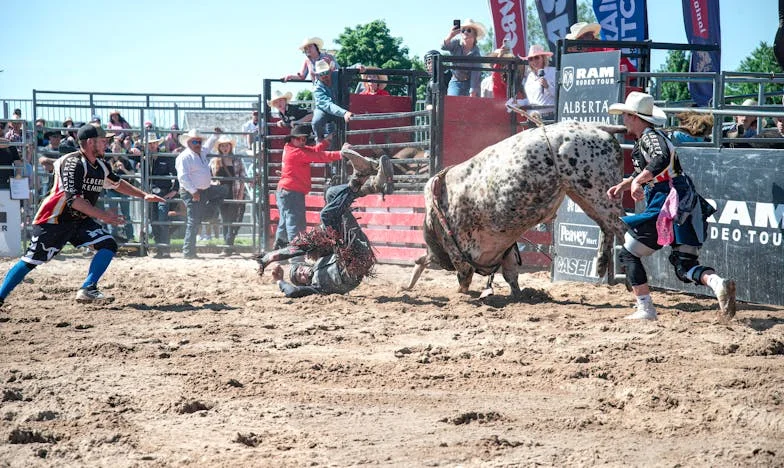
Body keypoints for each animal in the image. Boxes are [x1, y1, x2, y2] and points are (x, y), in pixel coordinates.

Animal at [404, 119, 632, 296]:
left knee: (622, 228)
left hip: (599, 192)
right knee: (606, 226)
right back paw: (602, 265)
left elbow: (464, 280)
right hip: (585, 195)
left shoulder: (461, 255)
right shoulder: (507, 251)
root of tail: (598, 127)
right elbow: (511, 275)